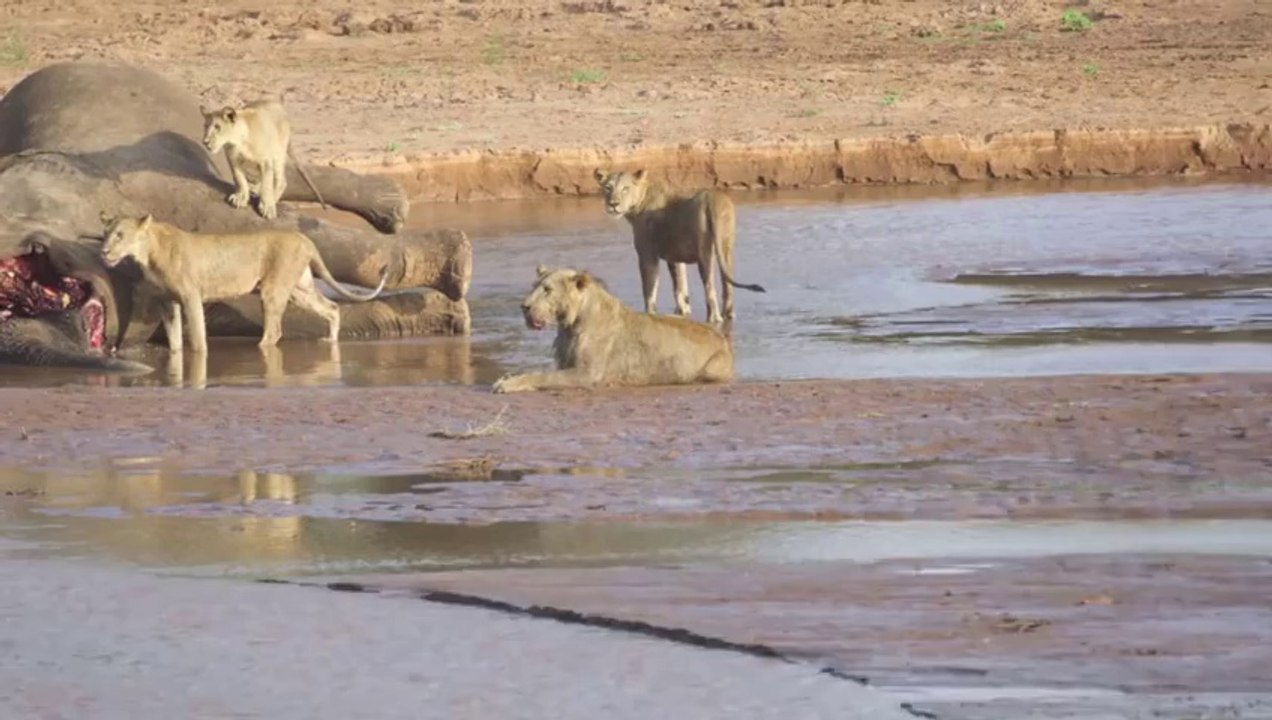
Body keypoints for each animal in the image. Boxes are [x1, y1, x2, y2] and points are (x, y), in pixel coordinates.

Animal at [99, 214, 387, 354]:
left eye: (120, 235)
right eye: (106, 234)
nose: (103, 251)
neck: (148, 253)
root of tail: (304, 238)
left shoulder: (192, 296)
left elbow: (198, 336)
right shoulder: (167, 301)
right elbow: (174, 338)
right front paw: (176, 355)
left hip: (273, 289)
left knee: (274, 332)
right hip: (299, 289)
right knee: (331, 308)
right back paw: (330, 340)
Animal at [491, 264, 734, 393]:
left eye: (547, 289)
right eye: (535, 287)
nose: (524, 306)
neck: (570, 325)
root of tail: (723, 339)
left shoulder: (587, 374)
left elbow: (543, 376)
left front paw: (507, 383)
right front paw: (504, 379)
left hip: (711, 369)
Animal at [593, 168, 765, 324]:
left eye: (625, 188)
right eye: (608, 188)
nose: (613, 204)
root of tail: (713, 200)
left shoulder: (647, 254)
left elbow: (649, 288)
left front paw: (650, 313)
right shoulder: (674, 255)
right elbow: (680, 286)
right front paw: (683, 311)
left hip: (704, 251)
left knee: (709, 286)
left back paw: (714, 318)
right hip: (726, 244)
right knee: (726, 283)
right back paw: (728, 314)